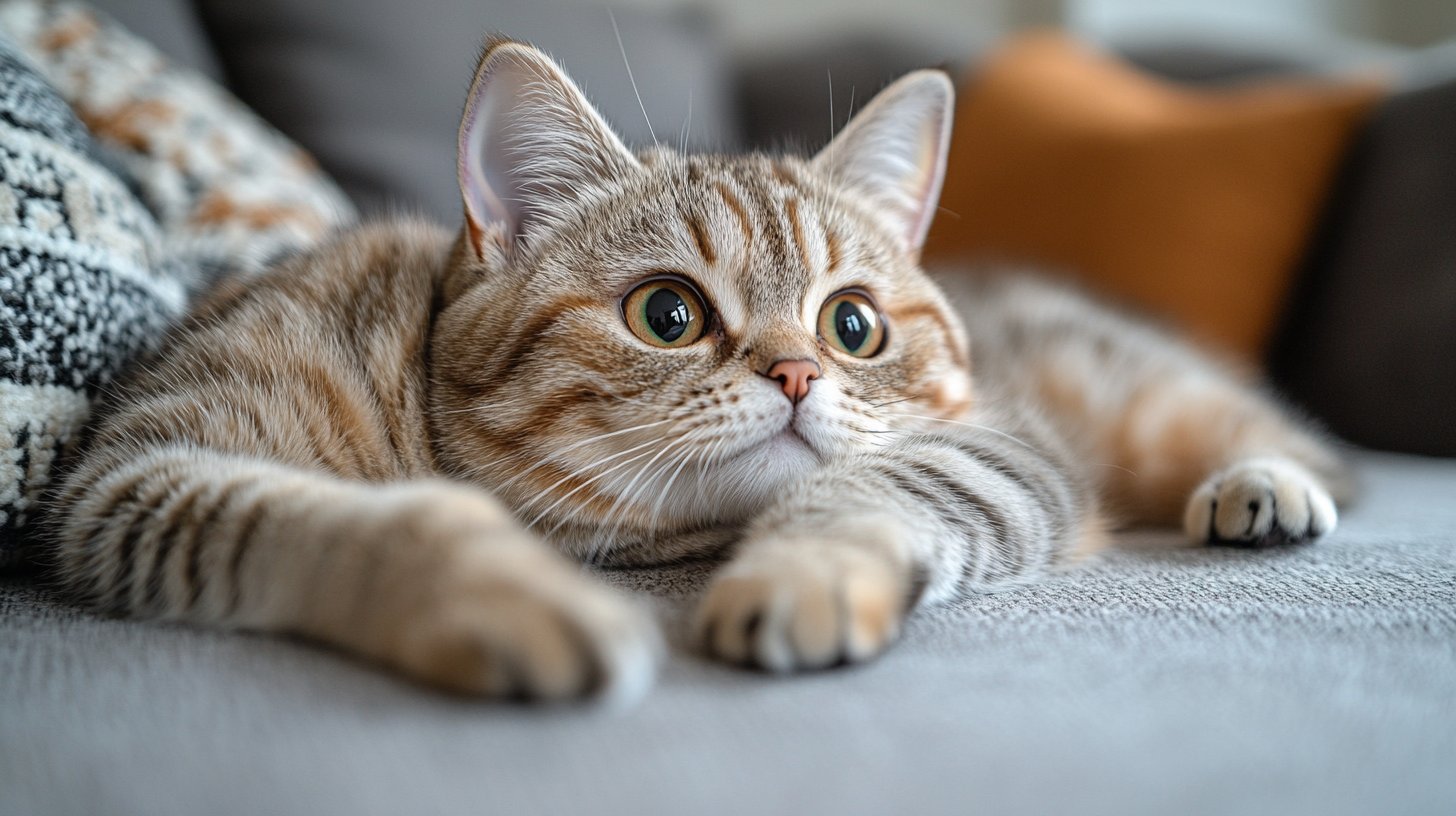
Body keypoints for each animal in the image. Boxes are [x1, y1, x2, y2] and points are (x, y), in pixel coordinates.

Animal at [48, 39, 1351, 702]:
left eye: (854, 327)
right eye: (667, 314)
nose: (797, 375)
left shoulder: (997, 446)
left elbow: (868, 491)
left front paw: (800, 575)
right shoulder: (142, 477)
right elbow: (372, 522)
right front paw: (515, 591)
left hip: (1143, 397)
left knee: (1284, 437)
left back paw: (1261, 486)